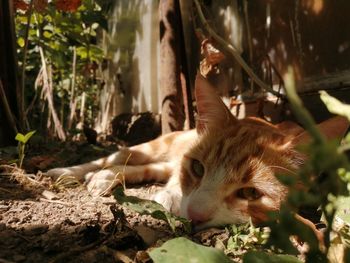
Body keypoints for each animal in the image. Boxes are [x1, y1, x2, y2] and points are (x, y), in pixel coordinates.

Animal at [47, 73, 350, 231]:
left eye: (251, 193)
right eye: (198, 168)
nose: (195, 214)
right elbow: (173, 185)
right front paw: (169, 196)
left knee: (144, 169)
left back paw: (106, 178)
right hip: (157, 146)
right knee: (117, 156)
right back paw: (67, 172)